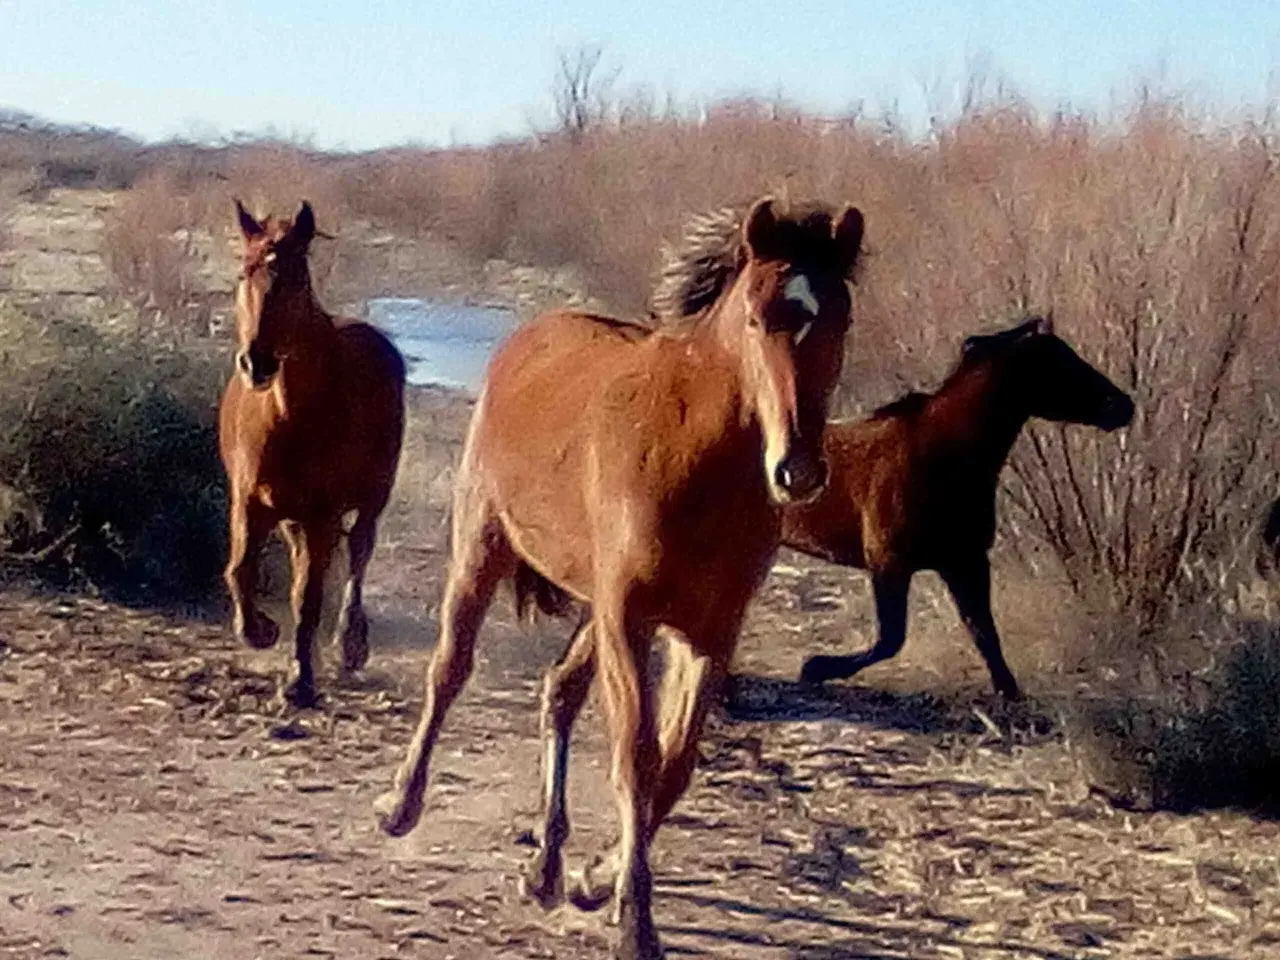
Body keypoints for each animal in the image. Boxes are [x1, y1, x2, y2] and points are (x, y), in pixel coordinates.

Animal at [219, 201, 406, 709]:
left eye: (296, 279)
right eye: (244, 274)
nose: (257, 363)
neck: (289, 416)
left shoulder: (324, 512)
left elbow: (310, 595)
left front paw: (300, 681)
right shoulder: (250, 501)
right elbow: (240, 571)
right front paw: (261, 631)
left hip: (369, 500)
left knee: (358, 552)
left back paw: (349, 644)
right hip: (291, 516)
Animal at [373, 197, 865, 960]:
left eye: (839, 319)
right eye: (759, 318)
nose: (799, 470)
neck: (696, 456)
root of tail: (533, 336)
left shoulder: (707, 629)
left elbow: (673, 762)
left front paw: (593, 880)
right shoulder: (630, 617)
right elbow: (636, 757)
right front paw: (634, 922)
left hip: (591, 606)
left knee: (560, 691)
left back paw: (545, 869)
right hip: (486, 546)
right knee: (450, 668)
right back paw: (401, 806)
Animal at [785, 314, 1134, 699]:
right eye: (1059, 363)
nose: (1122, 406)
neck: (942, 453)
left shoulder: (965, 561)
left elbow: (984, 633)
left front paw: (1010, 693)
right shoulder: (890, 563)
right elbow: (891, 640)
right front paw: (815, 667)